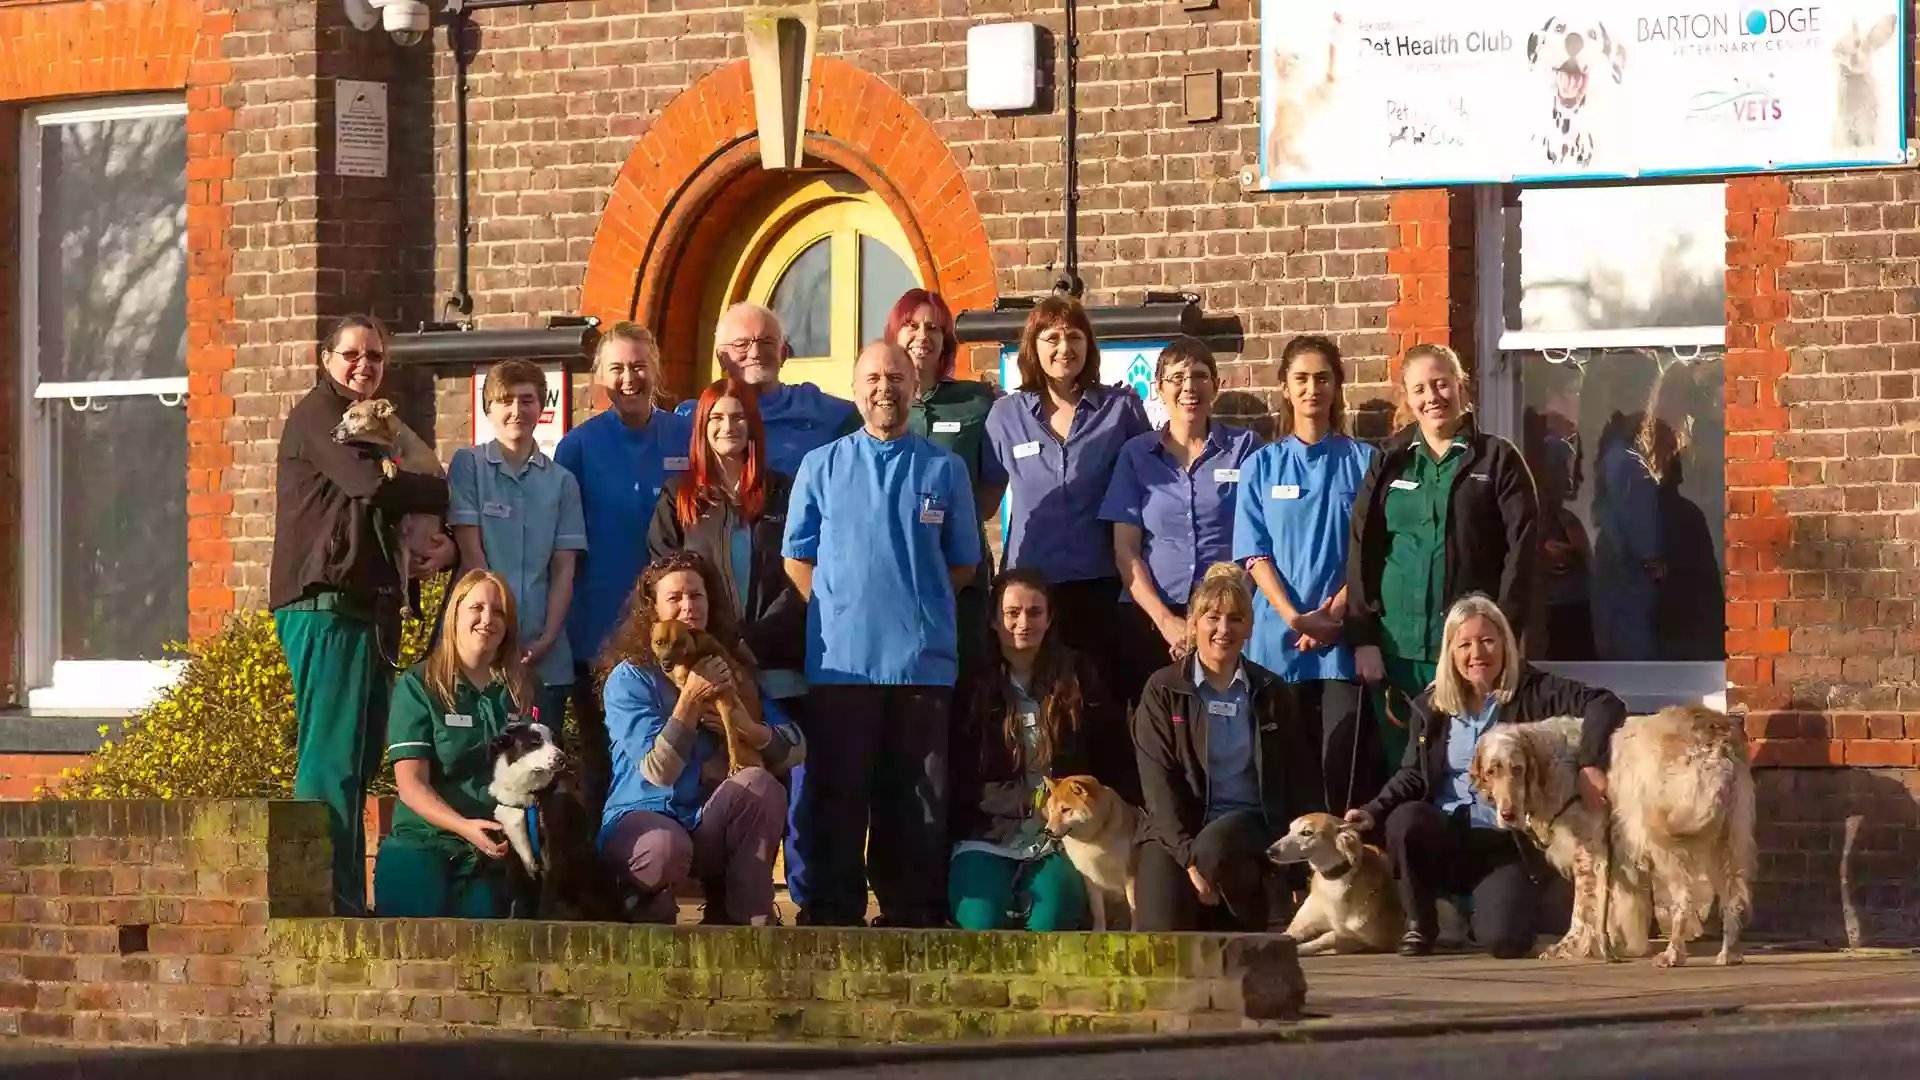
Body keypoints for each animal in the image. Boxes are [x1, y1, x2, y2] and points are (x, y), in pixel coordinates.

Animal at [1044, 772, 1144, 926]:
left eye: (1065, 810)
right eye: (1051, 809)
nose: (1047, 831)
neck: (1093, 840)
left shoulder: (1131, 875)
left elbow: (1135, 910)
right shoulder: (1091, 878)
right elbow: (1098, 912)